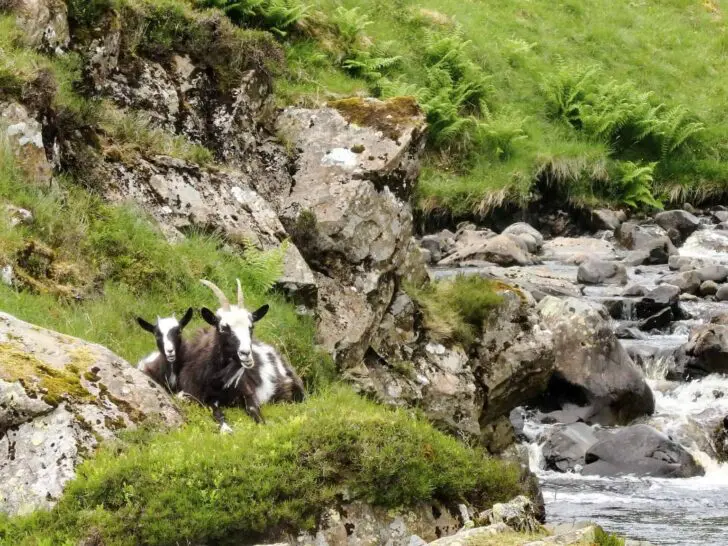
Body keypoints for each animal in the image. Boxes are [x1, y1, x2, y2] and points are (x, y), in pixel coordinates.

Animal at [178, 279, 305, 433]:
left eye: (251, 327)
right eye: (223, 328)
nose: (246, 354)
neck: (217, 382)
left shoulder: (248, 392)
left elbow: (253, 410)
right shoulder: (198, 397)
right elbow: (216, 412)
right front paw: (226, 429)